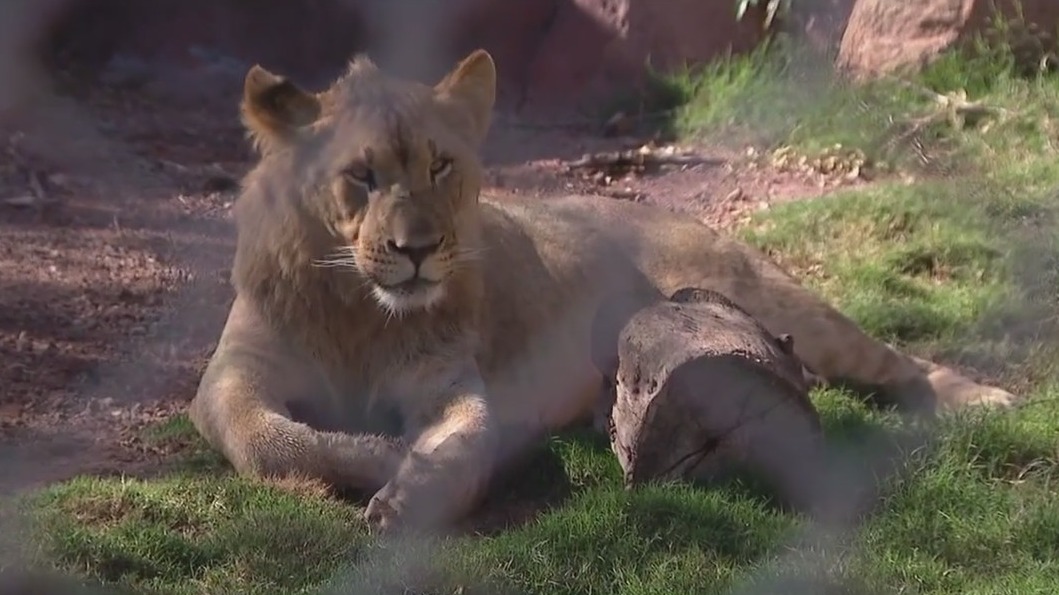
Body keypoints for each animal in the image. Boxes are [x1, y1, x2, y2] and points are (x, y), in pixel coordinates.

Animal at [188, 48, 1019, 533]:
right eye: (360, 175)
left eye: (440, 166)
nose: (417, 250)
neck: (360, 313)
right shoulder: (229, 378)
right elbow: (265, 439)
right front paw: (379, 453)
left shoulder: (452, 384)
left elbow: (461, 447)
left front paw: (406, 489)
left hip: (778, 300)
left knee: (894, 361)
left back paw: (985, 398)